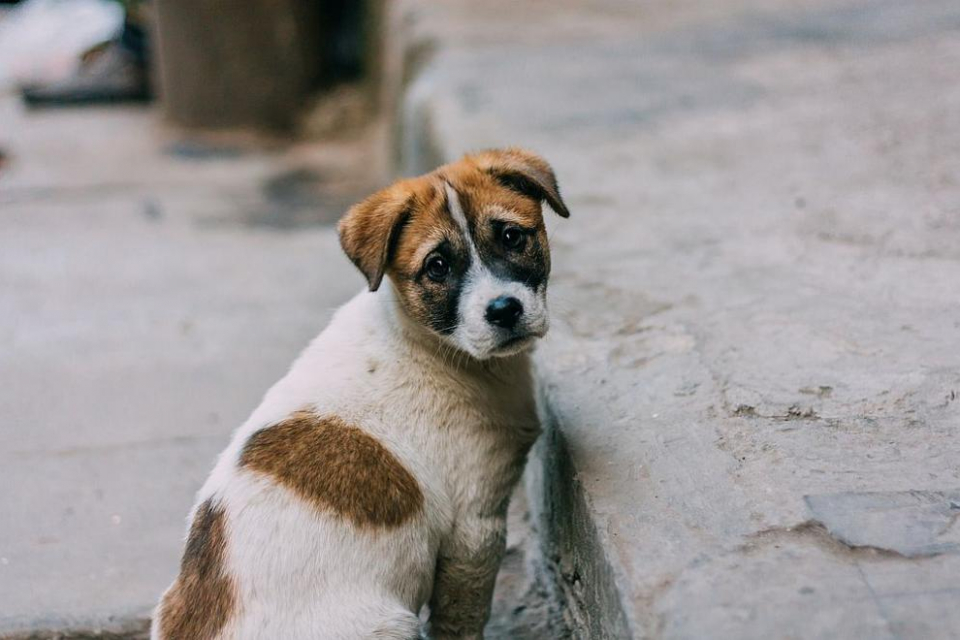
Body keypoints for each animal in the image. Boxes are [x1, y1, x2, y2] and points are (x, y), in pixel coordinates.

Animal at [153, 148, 568, 636]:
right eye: (438, 266)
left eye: (510, 236)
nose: (504, 310)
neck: (433, 345)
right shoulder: (474, 527)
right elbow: (461, 620)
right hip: (392, 623)